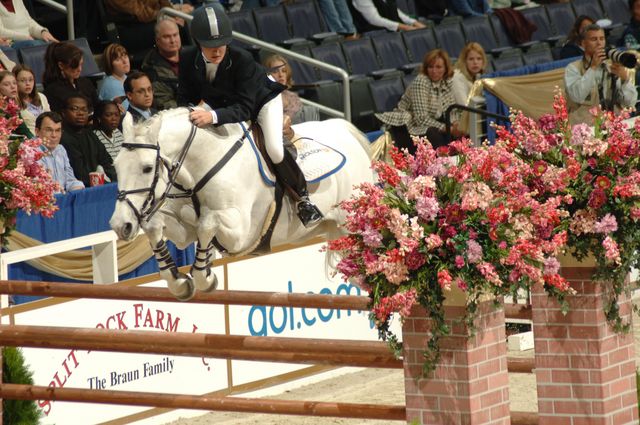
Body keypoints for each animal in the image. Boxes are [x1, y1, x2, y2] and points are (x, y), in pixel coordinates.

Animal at [108, 107, 372, 300]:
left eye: (147, 168)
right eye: (116, 167)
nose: (121, 225)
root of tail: (345, 129)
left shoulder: (240, 233)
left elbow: (207, 222)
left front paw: (205, 277)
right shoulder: (183, 231)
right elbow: (155, 225)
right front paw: (180, 282)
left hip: (351, 227)